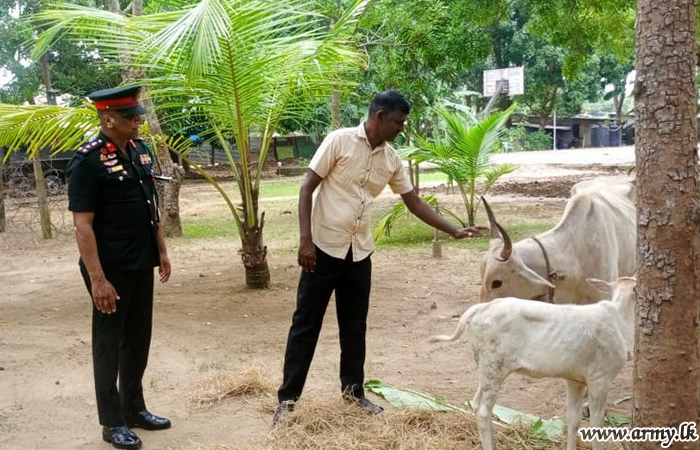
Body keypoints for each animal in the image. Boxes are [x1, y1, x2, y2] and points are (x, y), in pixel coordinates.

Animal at [430, 278, 636, 450]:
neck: (620, 320)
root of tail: (482, 307)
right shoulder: (600, 378)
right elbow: (596, 423)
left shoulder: (575, 380)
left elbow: (573, 419)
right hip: (494, 368)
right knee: (483, 412)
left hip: (485, 370)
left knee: (475, 403)